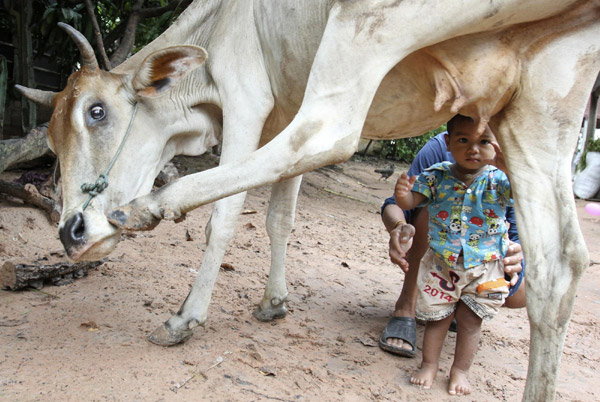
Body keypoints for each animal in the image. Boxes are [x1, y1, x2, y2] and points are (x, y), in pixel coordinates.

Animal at [16, 1, 600, 400]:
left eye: (97, 112)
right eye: (51, 142)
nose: (71, 232)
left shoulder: (248, 101)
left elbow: (227, 216)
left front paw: (186, 318)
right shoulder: (279, 110)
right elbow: (280, 216)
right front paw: (274, 303)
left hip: (368, 24)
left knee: (328, 130)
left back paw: (149, 206)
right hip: (543, 99)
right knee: (560, 266)